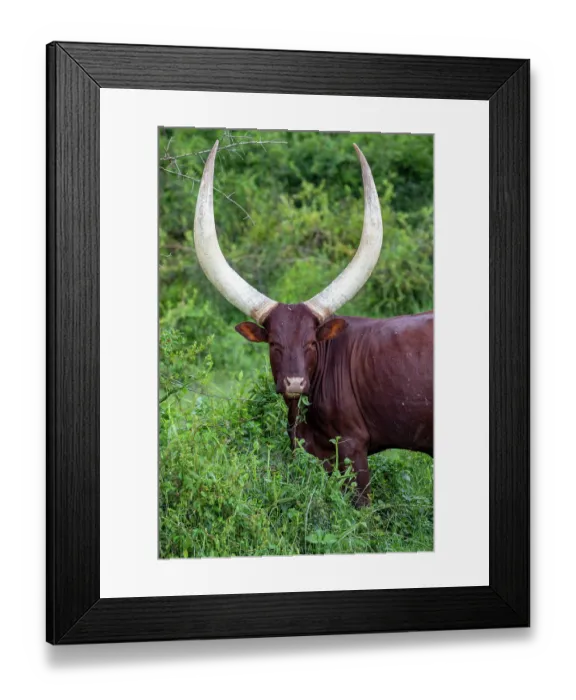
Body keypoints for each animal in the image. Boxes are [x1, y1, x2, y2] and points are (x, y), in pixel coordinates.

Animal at [193, 141, 433, 506]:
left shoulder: (352, 448)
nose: (294, 383)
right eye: (274, 343)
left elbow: (361, 508)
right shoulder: (310, 451)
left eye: (310, 342)